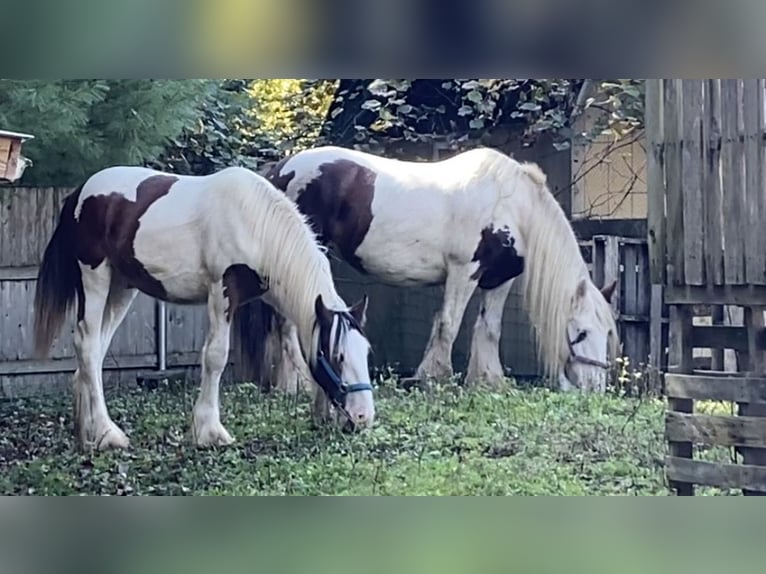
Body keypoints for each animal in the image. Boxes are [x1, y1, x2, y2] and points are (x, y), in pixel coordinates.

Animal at [32, 165, 375, 451]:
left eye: (366, 353)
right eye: (339, 356)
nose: (363, 417)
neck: (255, 224)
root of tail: (80, 193)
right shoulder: (223, 292)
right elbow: (215, 357)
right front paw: (210, 431)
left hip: (121, 288)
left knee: (95, 352)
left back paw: (88, 432)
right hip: (96, 278)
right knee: (87, 345)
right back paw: (108, 434)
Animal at [242, 145, 619, 393]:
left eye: (608, 333)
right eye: (582, 333)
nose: (596, 387)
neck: (509, 204)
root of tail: (280, 170)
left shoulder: (498, 279)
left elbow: (490, 329)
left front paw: (489, 381)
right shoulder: (464, 271)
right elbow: (448, 325)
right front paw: (435, 377)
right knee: (287, 322)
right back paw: (297, 384)